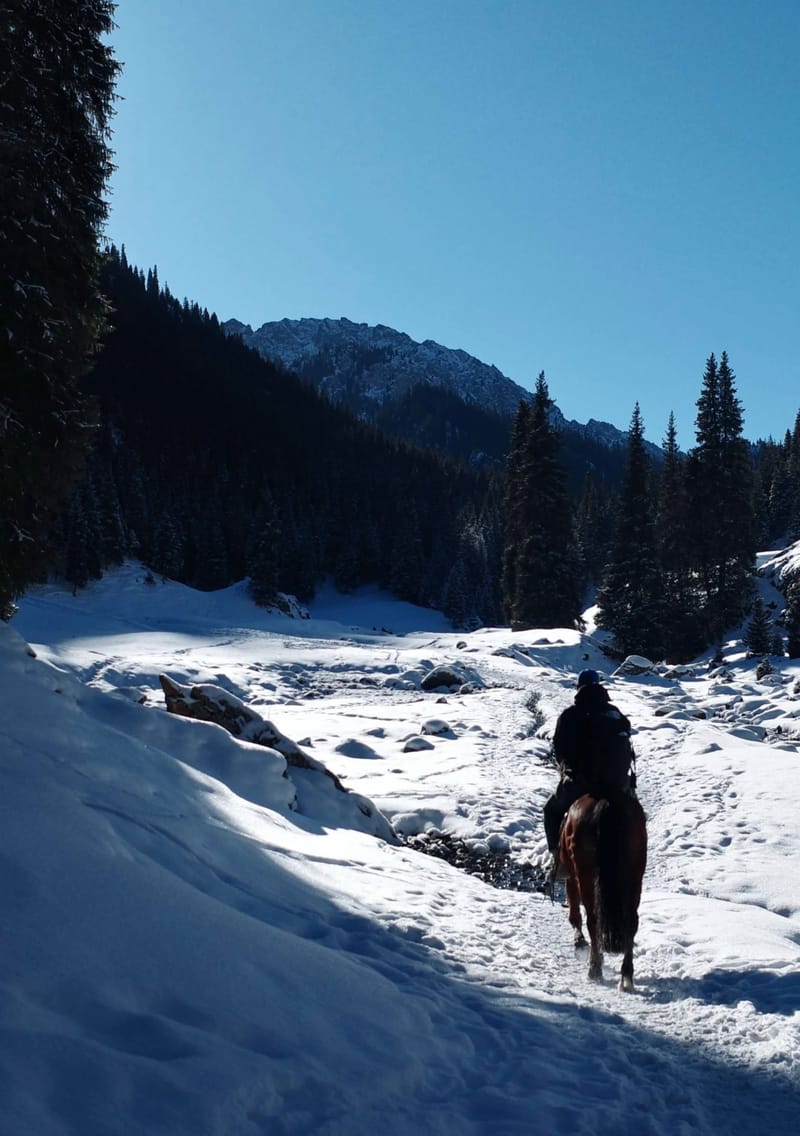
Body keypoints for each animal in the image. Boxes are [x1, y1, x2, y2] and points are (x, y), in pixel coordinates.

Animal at [559, 786, 645, 990]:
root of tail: (607, 804)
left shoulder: (571, 877)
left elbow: (574, 911)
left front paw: (580, 942)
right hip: (634, 875)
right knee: (631, 921)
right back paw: (626, 977)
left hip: (585, 874)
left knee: (593, 919)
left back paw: (594, 969)